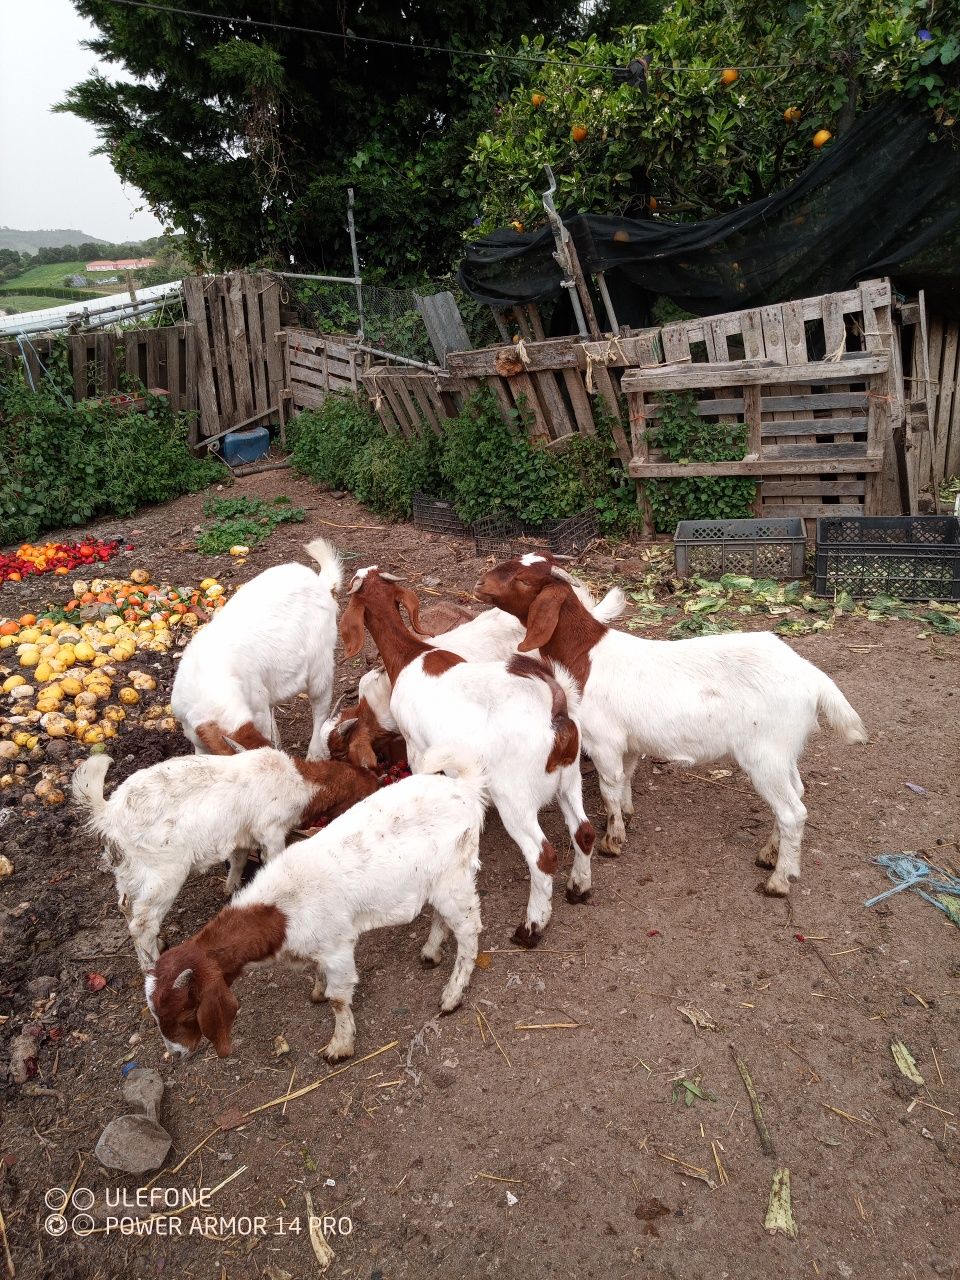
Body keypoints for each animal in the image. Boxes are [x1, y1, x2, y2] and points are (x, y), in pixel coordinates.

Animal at [70, 747, 378, 962]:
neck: (299, 780)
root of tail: (108, 813)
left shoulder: (241, 834)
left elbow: (239, 858)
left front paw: (230, 889)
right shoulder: (271, 830)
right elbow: (273, 860)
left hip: (128, 869)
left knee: (126, 906)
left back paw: (156, 943)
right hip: (162, 871)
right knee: (142, 922)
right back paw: (151, 964)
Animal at [142, 747, 488, 1059]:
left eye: (187, 1014)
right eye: (157, 1015)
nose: (178, 1054)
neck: (280, 910)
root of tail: (464, 788)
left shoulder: (337, 948)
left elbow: (339, 998)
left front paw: (339, 1045)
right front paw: (318, 991)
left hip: (454, 875)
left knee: (469, 931)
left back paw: (452, 994)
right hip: (438, 879)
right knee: (442, 916)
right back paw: (430, 952)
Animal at [171, 540, 343, 757]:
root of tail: (320, 582)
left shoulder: (260, 709)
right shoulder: (196, 737)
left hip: (320, 659)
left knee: (321, 703)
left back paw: (314, 754)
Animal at [335, 565, 599, 947]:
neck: (409, 655)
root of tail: (555, 714)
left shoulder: (417, 748)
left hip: (514, 797)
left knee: (542, 855)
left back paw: (531, 927)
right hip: (569, 778)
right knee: (584, 830)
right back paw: (579, 887)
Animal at [478, 555, 870, 896]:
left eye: (523, 579)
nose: (480, 583)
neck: (584, 656)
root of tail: (813, 677)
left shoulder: (604, 740)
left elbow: (608, 788)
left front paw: (612, 841)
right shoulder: (629, 742)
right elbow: (625, 780)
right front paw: (626, 817)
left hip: (765, 753)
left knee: (793, 812)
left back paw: (779, 881)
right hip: (783, 748)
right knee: (796, 794)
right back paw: (770, 855)